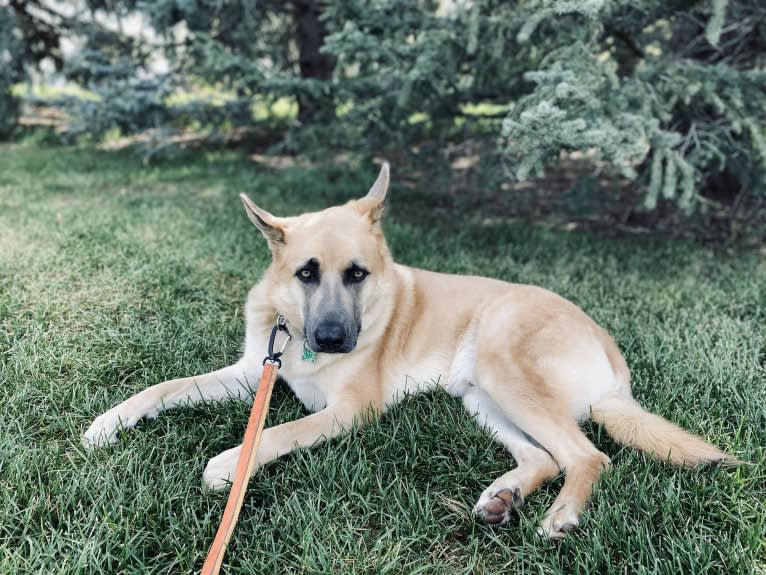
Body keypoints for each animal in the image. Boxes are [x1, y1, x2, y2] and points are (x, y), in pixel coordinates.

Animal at [81, 163, 736, 540]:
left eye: (357, 274)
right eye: (306, 272)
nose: (331, 340)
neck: (299, 333)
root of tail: (609, 351)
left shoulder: (350, 410)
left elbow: (274, 432)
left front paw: (229, 463)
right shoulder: (253, 374)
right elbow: (164, 388)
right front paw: (109, 423)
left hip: (504, 369)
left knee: (587, 455)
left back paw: (562, 515)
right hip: (480, 396)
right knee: (545, 458)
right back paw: (504, 498)